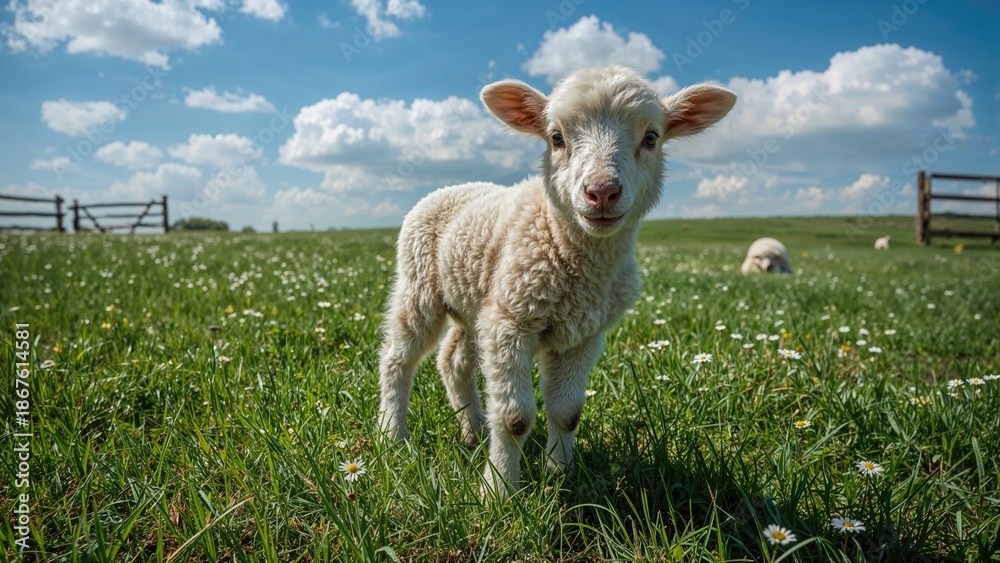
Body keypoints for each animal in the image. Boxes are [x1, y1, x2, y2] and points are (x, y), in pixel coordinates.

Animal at [377, 65, 736, 499]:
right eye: (556, 137)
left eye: (651, 137)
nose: (602, 192)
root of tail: (453, 186)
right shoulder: (511, 322)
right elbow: (514, 418)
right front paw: (499, 492)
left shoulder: (582, 333)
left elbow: (567, 413)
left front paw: (559, 477)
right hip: (420, 286)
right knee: (397, 357)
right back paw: (394, 436)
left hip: (475, 302)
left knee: (453, 360)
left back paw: (473, 431)